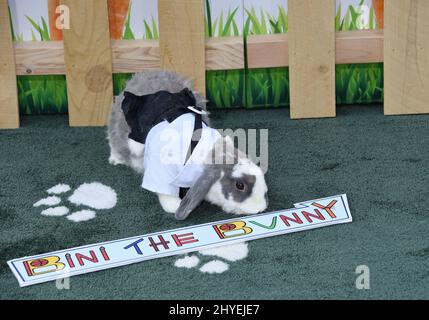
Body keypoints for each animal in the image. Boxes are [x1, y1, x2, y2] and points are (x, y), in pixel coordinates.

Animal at [107, 70, 268, 220]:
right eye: (240, 185)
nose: (261, 208)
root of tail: (143, 74)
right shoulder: (160, 169)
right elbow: (165, 191)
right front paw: (174, 205)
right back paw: (114, 160)